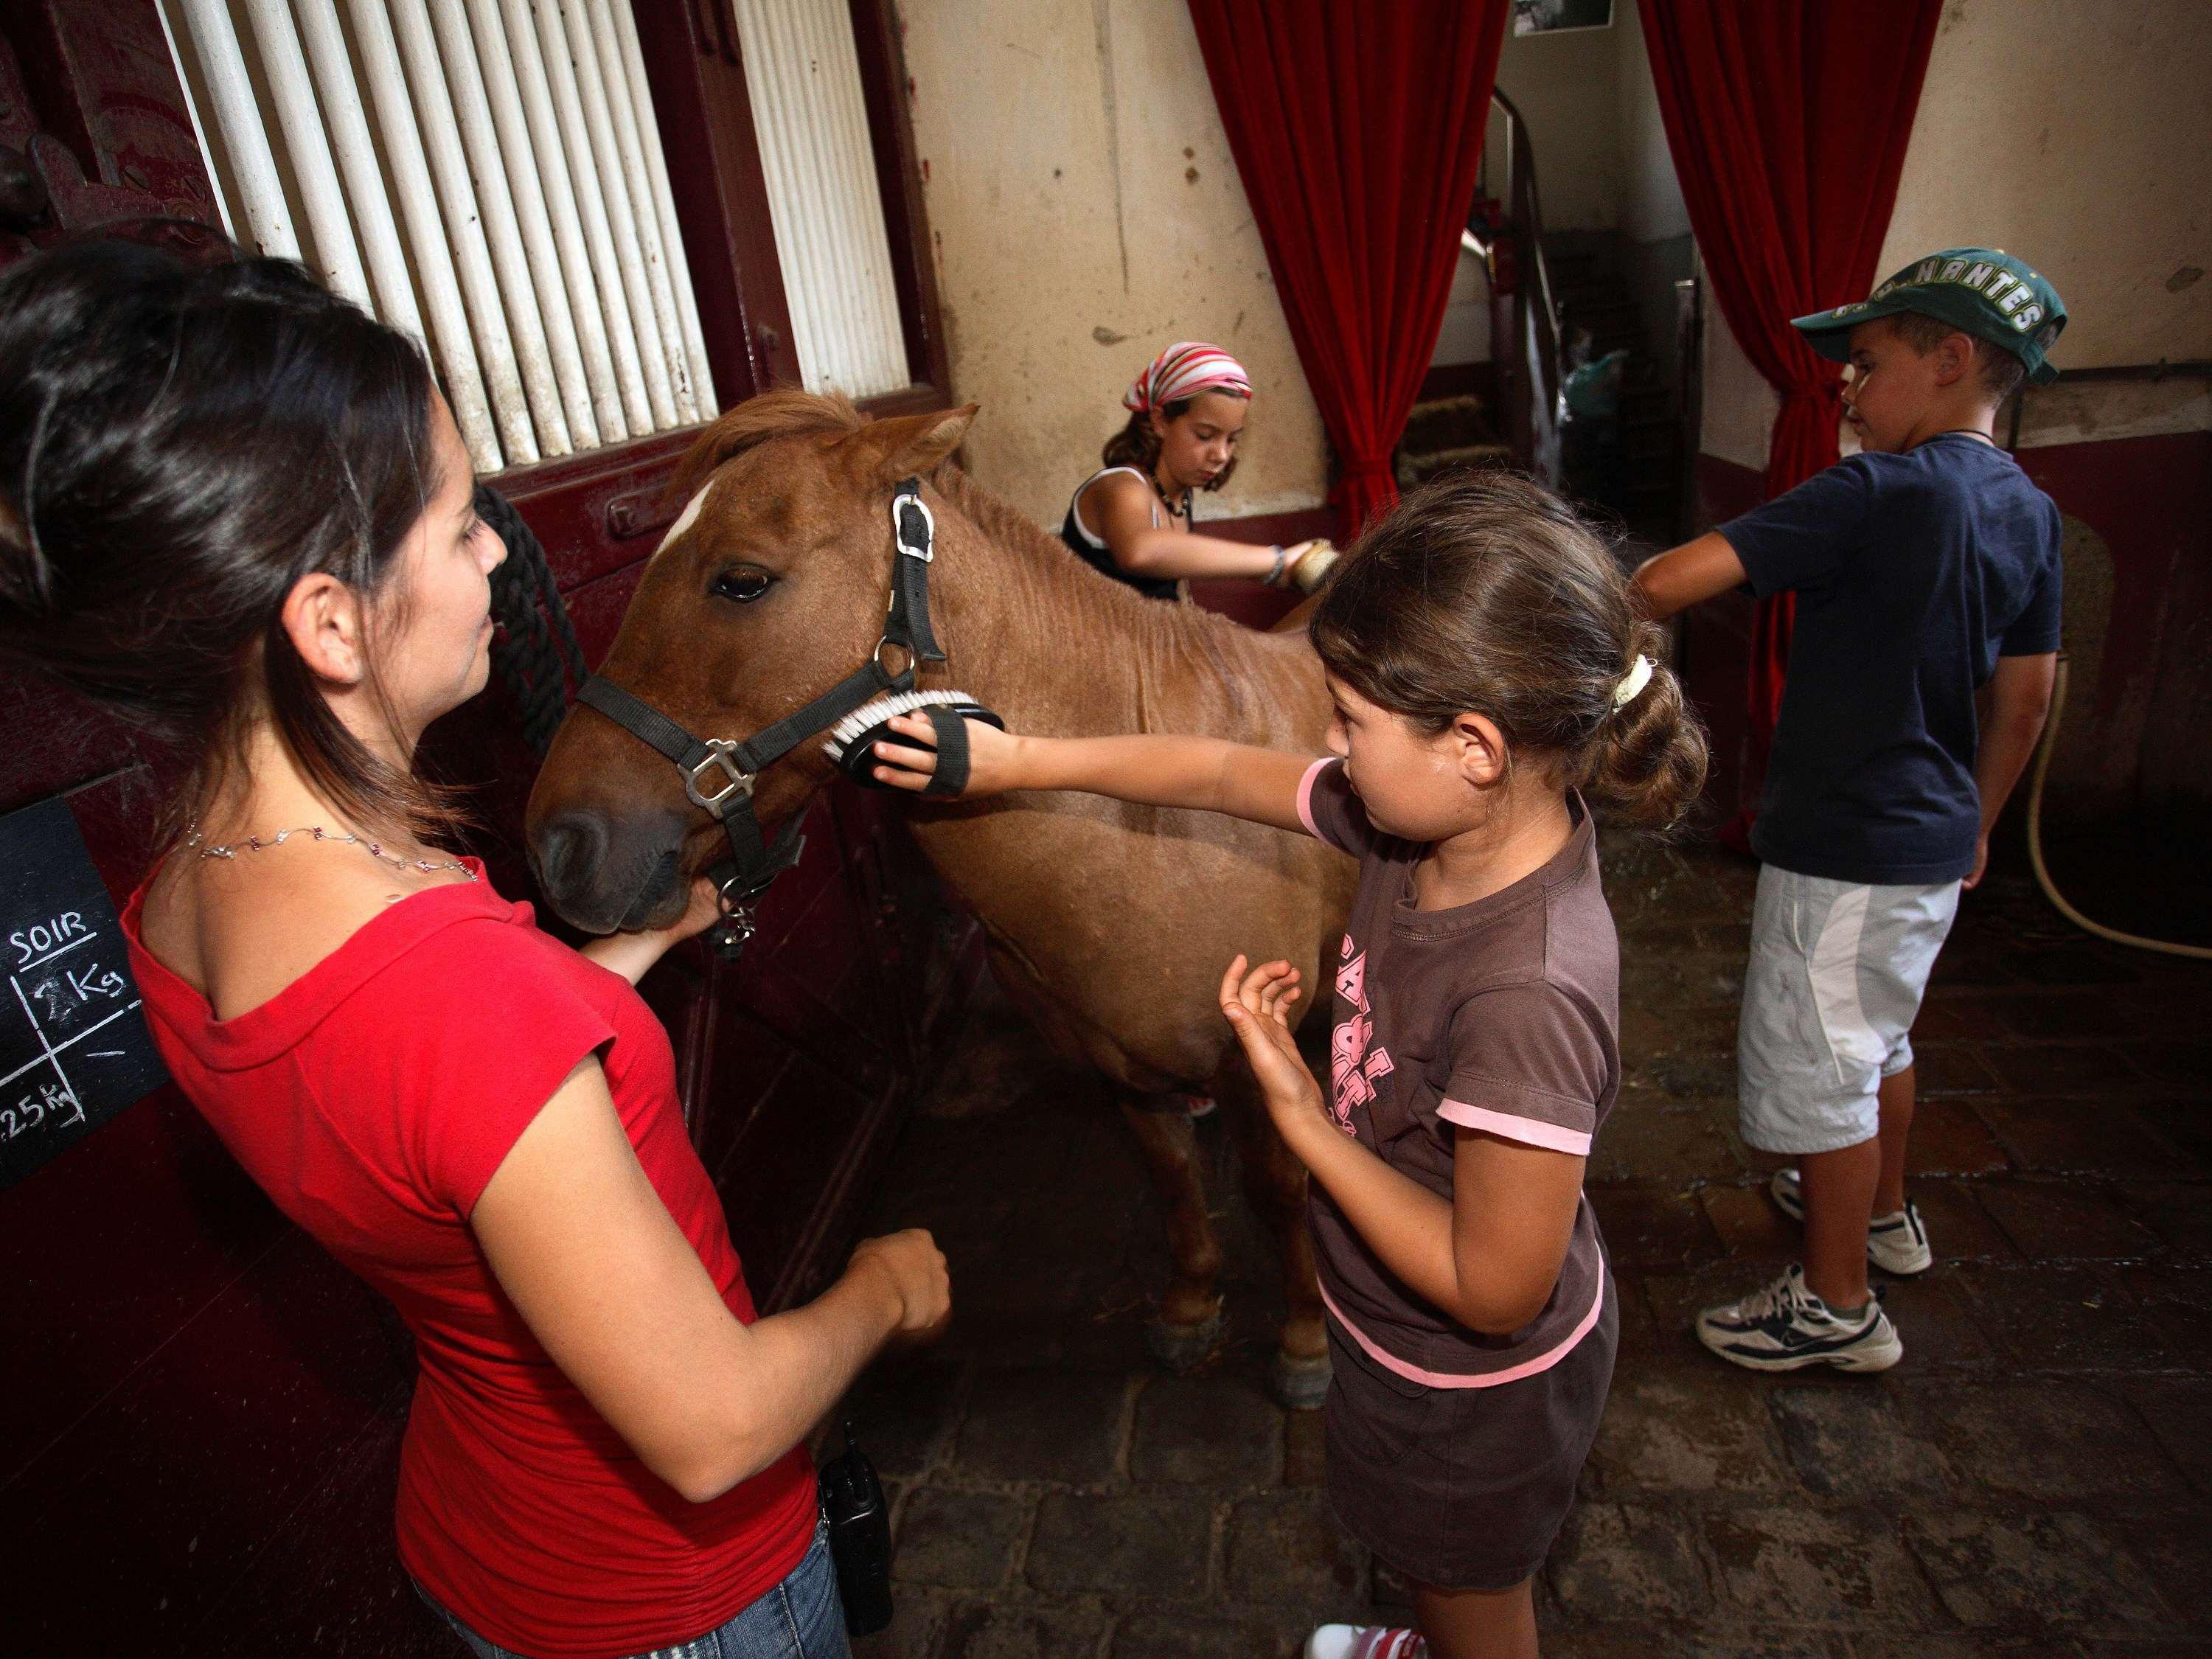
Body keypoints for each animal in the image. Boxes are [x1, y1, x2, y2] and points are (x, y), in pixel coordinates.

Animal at [522, 396, 1345, 1407]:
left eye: (743, 581)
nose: (560, 847)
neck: (1141, 816)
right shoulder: (1120, 1067)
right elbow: (1172, 1182)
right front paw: (1192, 1309)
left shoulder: (1252, 1068)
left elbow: (1279, 1194)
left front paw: (1305, 1339)